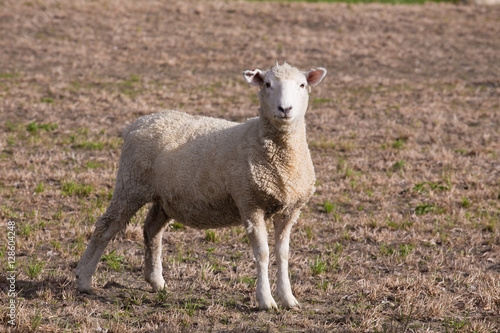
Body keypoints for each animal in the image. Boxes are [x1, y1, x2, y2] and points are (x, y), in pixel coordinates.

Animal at [73, 62, 324, 308]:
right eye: (268, 84)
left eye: (302, 85)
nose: (285, 109)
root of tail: (140, 122)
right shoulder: (250, 203)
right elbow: (262, 253)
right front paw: (265, 300)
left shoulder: (290, 209)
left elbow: (283, 254)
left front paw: (288, 298)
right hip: (130, 183)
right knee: (106, 227)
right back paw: (84, 279)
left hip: (164, 196)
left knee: (152, 229)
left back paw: (157, 282)